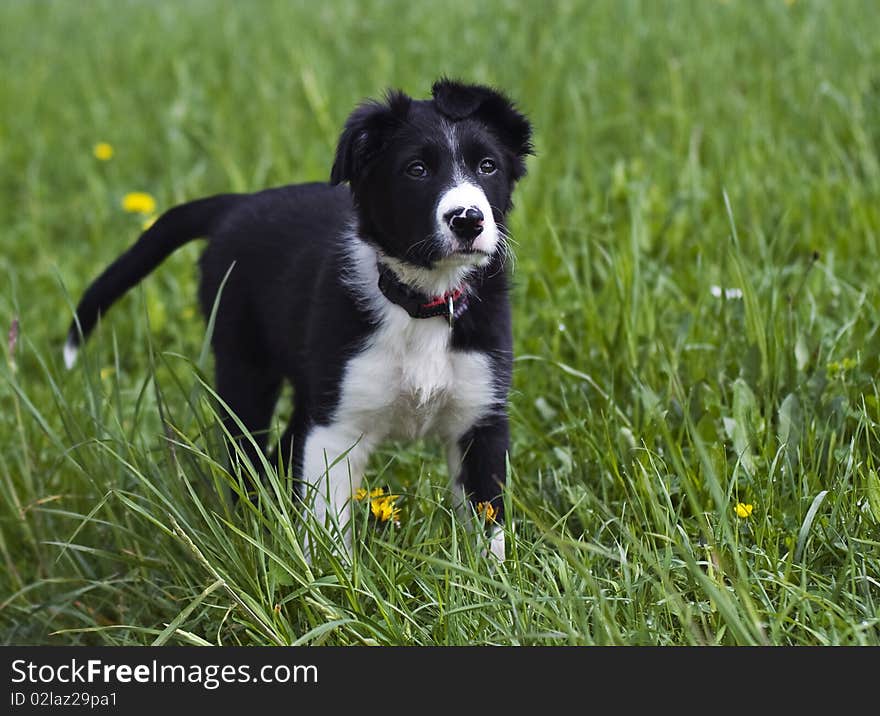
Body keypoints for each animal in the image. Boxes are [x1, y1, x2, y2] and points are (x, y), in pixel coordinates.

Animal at [65, 78, 532, 560]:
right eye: (417, 170)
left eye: (488, 166)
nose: (468, 219)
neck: (423, 302)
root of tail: (238, 205)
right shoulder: (337, 426)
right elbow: (328, 524)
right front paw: (330, 578)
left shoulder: (481, 418)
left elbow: (488, 526)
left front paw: (492, 579)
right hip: (244, 367)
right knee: (246, 455)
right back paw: (249, 529)